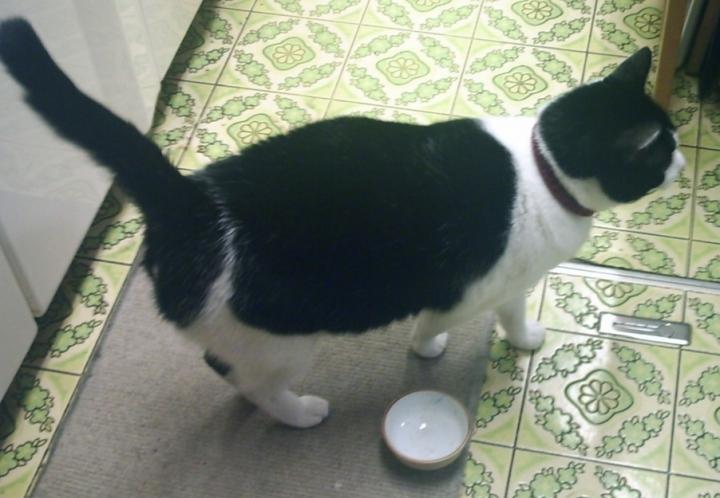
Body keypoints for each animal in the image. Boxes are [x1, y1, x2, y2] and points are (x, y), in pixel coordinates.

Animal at [0, 19, 685, 428]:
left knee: (223, 368)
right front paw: (439, 347)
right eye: (661, 152)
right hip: (283, 338)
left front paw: (508, 340)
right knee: (255, 383)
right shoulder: (473, 285)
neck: (543, 168)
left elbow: (496, 311)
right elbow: (450, 319)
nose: (681, 162)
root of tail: (192, 201)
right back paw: (301, 413)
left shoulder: (504, 278)